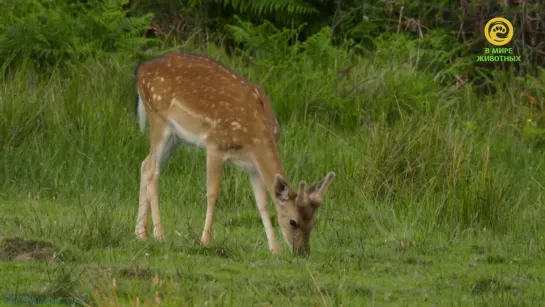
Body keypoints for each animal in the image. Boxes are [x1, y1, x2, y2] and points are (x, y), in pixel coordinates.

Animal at [133, 51, 334, 256]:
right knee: (152, 171)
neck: (254, 137)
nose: (303, 252)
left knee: (145, 164)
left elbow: (262, 204)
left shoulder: (253, 167)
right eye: (293, 222)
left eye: (314, 222)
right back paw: (159, 234)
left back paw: (140, 233)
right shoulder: (215, 145)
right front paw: (205, 241)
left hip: (176, 137)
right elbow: (213, 193)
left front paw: (274, 248)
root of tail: (141, 68)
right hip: (159, 118)